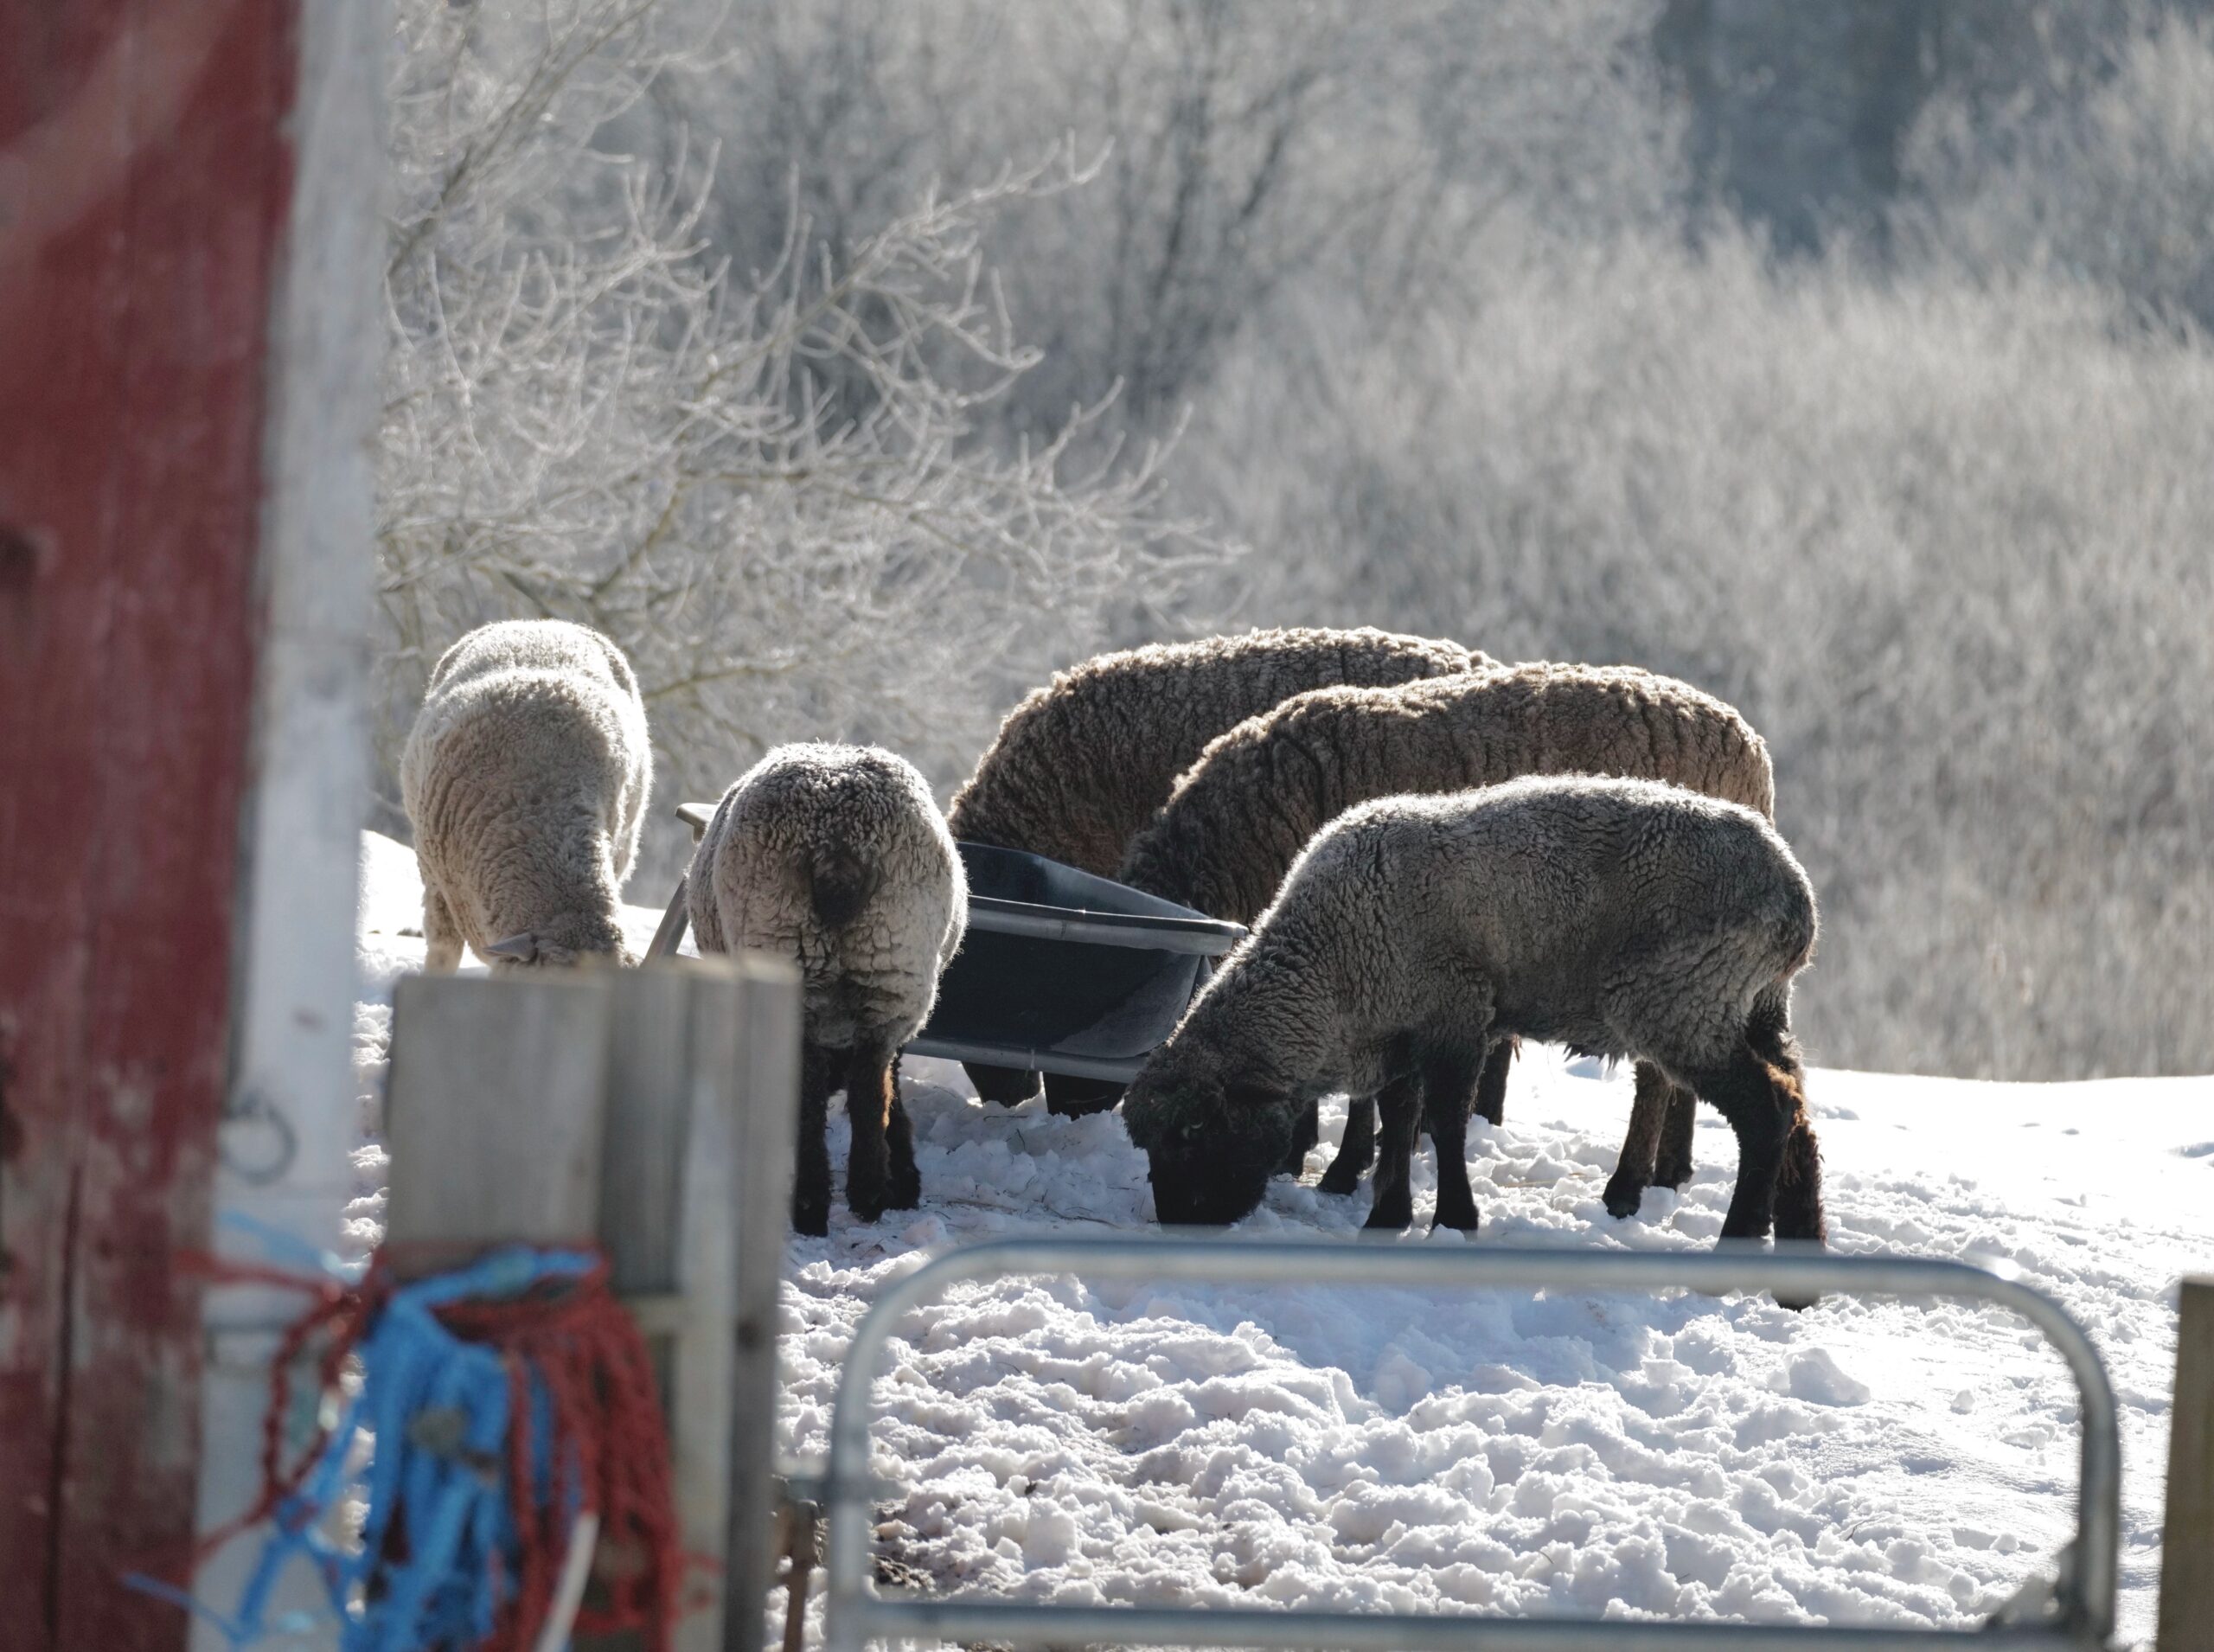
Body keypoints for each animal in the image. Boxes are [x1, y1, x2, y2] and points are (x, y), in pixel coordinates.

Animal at [688, 743, 967, 1236]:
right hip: (892, 960)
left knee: (817, 1093)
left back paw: (817, 1204)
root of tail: (839, 843)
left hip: (795, 952)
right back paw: (864, 1195)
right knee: (868, 1090)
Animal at [1118, 661, 1777, 1216]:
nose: (1180, 1221)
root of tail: (1748, 743)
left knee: (1656, 1080)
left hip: (1654, 974)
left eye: (1193, 1135)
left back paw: (1628, 1187)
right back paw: (1671, 1172)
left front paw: (1341, 1166)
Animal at [1120, 775, 1824, 1260]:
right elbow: (1400, 1117)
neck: (1329, 961)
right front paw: (1389, 1215)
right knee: (1798, 1110)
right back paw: (1795, 1237)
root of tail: (1797, 898)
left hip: (1682, 1000)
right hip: (1751, 1006)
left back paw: (1738, 1239)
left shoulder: (1455, 1017)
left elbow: (1447, 1123)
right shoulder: (1401, 1032)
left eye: (1193, 1131)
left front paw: (1453, 1219)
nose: (1179, 1223)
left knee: (1767, 1110)